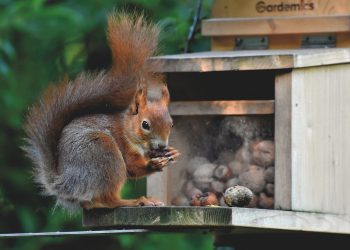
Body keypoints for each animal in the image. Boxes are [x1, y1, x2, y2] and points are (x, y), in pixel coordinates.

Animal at [22, 11, 178, 211]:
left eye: (171, 124)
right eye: (145, 124)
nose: (162, 146)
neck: (128, 129)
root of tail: (66, 183)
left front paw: (171, 153)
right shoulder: (123, 145)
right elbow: (132, 168)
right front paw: (154, 164)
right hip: (105, 155)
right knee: (110, 199)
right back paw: (137, 201)